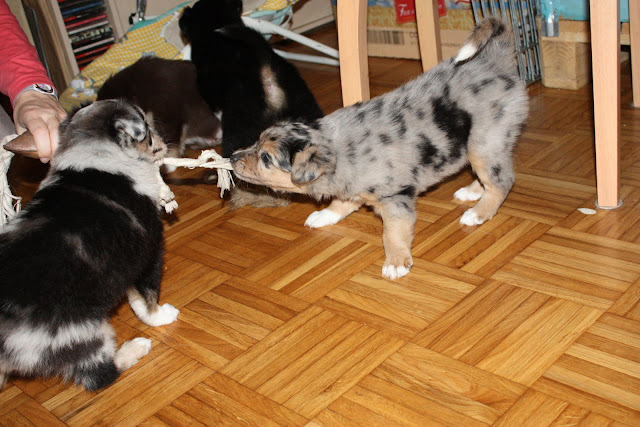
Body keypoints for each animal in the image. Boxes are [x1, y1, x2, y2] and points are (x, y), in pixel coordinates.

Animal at [0, 99, 179, 391]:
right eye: (147, 130)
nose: (164, 141)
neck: (96, 155)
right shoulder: (149, 254)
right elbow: (146, 298)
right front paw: (161, 316)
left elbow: (133, 297)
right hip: (79, 333)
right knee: (101, 375)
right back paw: (136, 347)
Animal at [231, 18, 529, 280]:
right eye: (257, 141)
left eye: (266, 158)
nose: (232, 157)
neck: (338, 151)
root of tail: (495, 62)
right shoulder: (351, 187)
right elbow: (341, 203)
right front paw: (323, 216)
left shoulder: (395, 198)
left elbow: (392, 233)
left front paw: (395, 263)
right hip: (479, 147)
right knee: (490, 177)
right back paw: (471, 192)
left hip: (486, 142)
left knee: (502, 181)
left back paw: (477, 213)